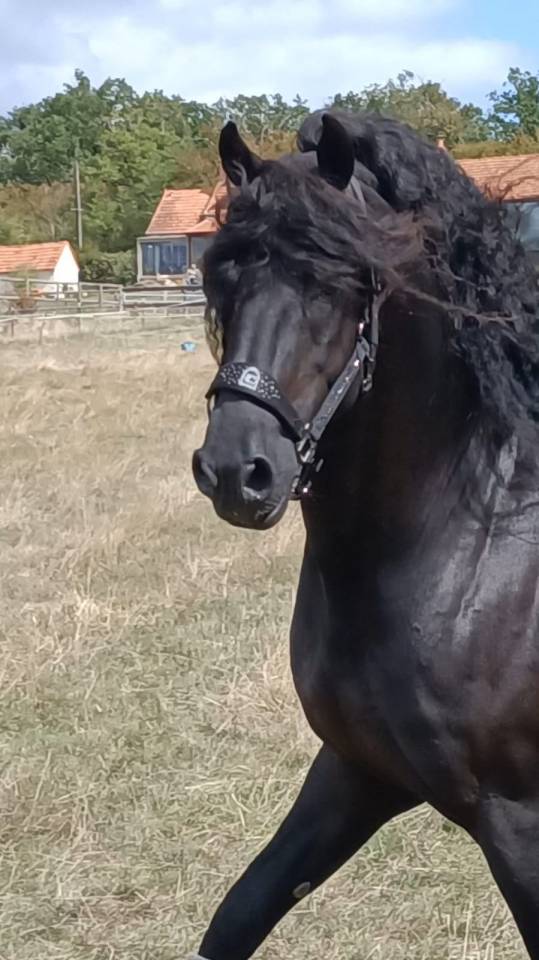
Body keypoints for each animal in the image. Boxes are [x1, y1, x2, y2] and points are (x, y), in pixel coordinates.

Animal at [191, 110, 539, 958]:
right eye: (223, 279)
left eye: (336, 279)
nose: (237, 471)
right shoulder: (355, 772)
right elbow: (237, 916)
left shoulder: (519, 824)